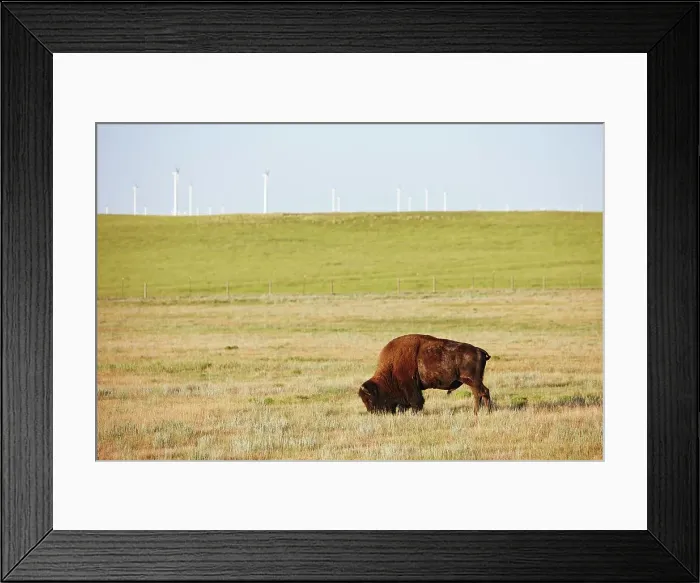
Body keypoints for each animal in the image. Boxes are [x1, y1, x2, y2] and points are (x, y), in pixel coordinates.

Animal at [358, 334, 492, 416]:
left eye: (369, 399)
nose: (373, 412)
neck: (391, 368)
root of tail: (479, 350)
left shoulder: (410, 386)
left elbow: (416, 402)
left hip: (472, 380)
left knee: (483, 392)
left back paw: (485, 411)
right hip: (472, 382)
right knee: (478, 394)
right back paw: (477, 412)